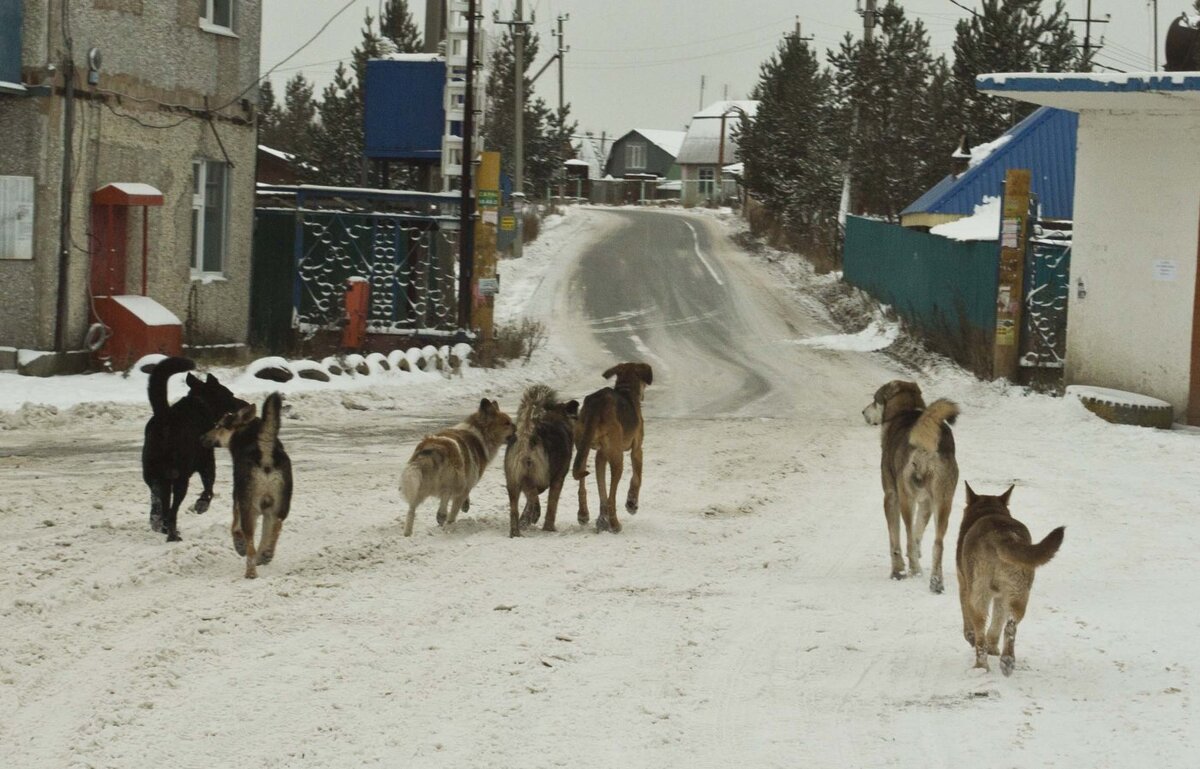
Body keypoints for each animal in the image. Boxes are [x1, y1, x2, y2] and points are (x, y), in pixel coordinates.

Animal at [141, 357, 247, 542]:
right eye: (231, 395)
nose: (246, 404)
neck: (201, 404)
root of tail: (164, 417)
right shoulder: (207, 463)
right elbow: (209, 489)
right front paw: (201, 505)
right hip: (180, 478)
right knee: (172, 511)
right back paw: (172, 535)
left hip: (155, 476)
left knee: (158, 504)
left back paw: (159, 524)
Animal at [403, 398, 516, 537]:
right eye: (507, 423)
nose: (517, 428)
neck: (480, 433)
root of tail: (433, 448)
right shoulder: (467, 482)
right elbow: (456, 506)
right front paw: (453, 520)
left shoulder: (467, 480)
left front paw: (465, 505)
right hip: (454, 477)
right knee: (446, 495)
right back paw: (442, 516)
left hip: (418, 484)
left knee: (411, 509)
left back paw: (408, 533)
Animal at [573, 362, 652, 530]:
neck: (626, 389)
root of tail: (598, 404)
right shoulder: (637, 449)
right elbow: (637, 478)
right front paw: (632, 504)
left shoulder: (601, 456)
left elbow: (602, 490)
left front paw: (601, 519)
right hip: (618, 458)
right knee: (612, 496)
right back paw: (615, 524)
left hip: (582, 446)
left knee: (584, 484)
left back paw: (585, 514)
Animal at [859, 381, 960, 590]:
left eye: (875, 399)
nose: (863, 412)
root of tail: (926, 447)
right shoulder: (927, 503)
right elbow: (918, 532)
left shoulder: (891, 497)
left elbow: (896, 540)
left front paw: (898, 571)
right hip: (943, 503)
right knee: (937, 543)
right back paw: (936, 582)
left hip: (907, 500)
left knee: (907, 536)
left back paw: (914, 570)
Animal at [960, 482, 1065, 676]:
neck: (989, 510)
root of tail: (1000, 534)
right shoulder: (1002, 596)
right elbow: (997, 623)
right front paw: (994, 649)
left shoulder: (963, 584)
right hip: (1019, 592)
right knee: (1010, 626)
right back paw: (1007, 661)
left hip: (979, 594)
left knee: (980, 631)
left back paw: (981, 666)